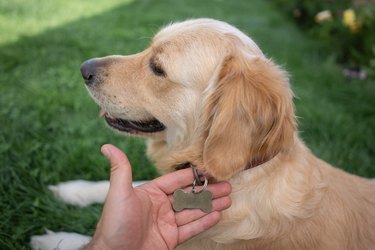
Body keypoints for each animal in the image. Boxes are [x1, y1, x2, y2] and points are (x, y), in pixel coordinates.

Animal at [31, 18, 375, 249]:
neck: (243, 174)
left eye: (157, 67)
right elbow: (131, 186)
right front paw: (73, 190)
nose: (84, 68)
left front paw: (56, 239)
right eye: (148, 48)